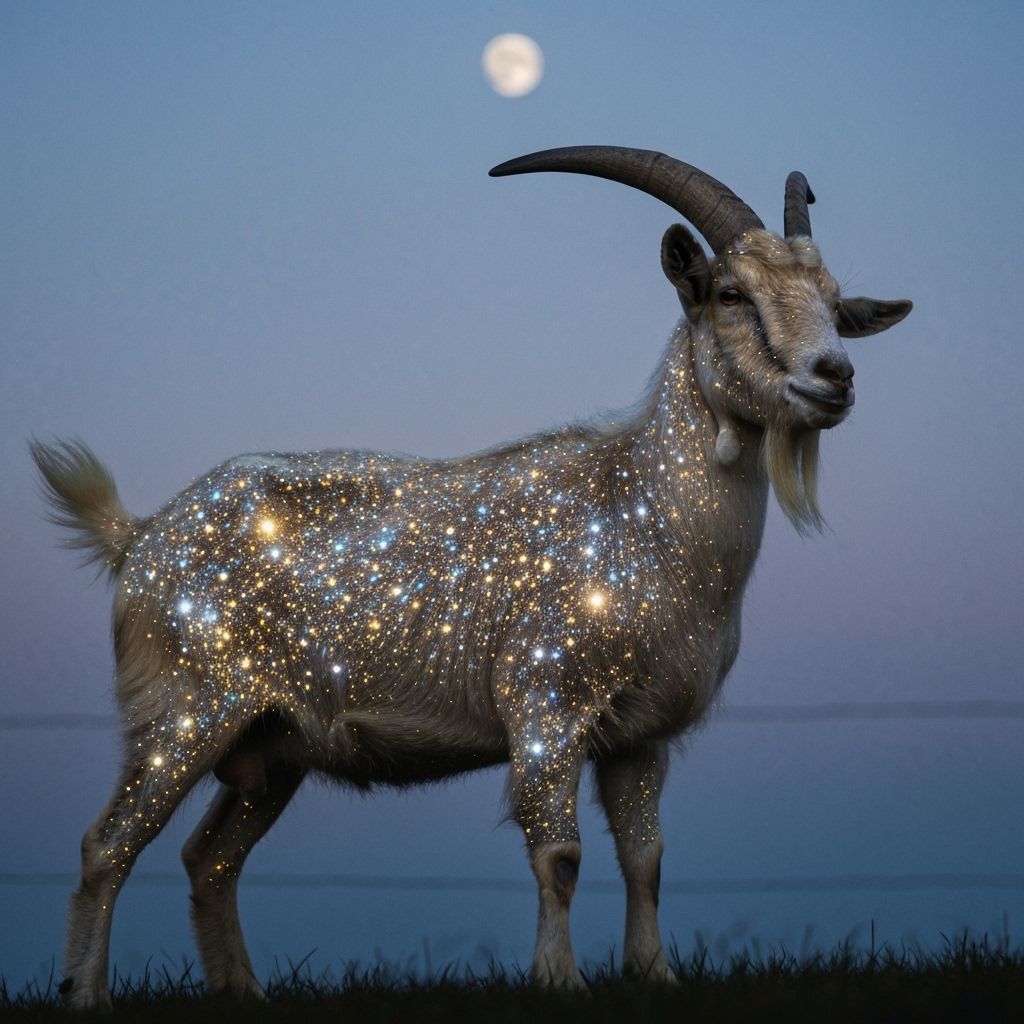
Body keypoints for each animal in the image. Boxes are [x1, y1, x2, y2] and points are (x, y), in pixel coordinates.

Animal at [32, 146, 911, 1007]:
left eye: (835, 300)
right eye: (732, 293)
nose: (834, 376)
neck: (638, 512)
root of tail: (140, 535)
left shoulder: (640, 734)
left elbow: (647, 859)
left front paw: (655, 974)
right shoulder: (546, 703)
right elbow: (561, 856)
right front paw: (560, 981)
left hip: (272, 747)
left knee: (209, 858)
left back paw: (243, 993)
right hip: (187, 708)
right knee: (107, 844)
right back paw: (86, 995)